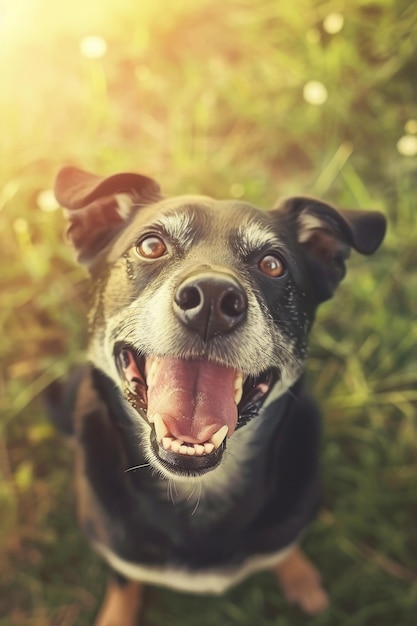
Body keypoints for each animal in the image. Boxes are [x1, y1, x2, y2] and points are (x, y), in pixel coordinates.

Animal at [49, 167, 386, 624]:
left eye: (273, 264)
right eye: (151, 245)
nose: (211, 298)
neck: (198, 492)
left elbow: (285, 547)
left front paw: (301, 580)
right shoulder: (118, 550)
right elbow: (124, 581)